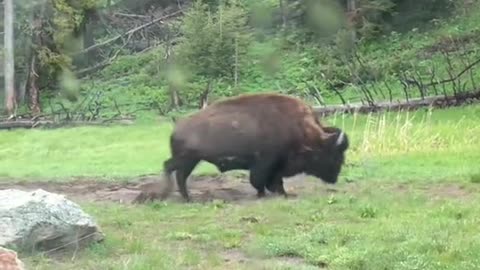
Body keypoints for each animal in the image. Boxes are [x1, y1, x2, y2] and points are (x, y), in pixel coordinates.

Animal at [142, 92, 348, 201]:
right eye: (335, 154)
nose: (335, 177)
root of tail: (177, 126)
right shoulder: (265, 162)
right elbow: (259, 180)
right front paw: (262, 195)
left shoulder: (276, 166)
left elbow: (276, 181)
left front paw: (282, 194)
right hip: (186, 159)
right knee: (172, 169)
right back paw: (179, 196)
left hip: (191, 160)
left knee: (178, 173)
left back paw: (186, 197)